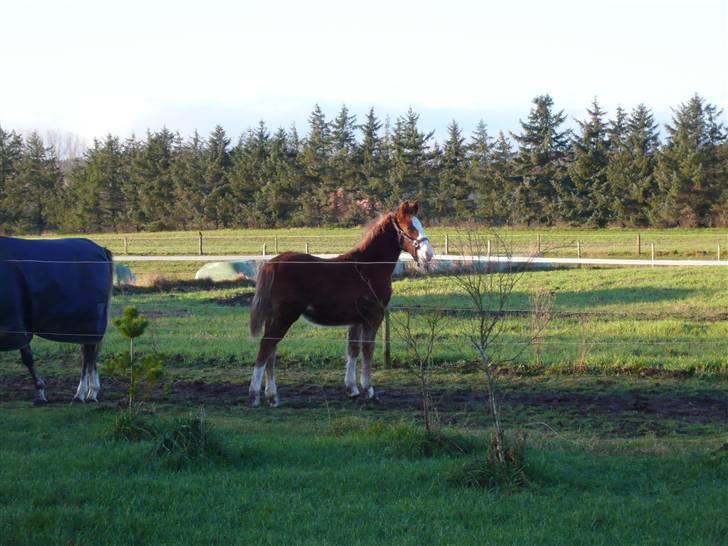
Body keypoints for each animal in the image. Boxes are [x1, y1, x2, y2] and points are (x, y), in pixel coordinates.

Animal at [0, 236, 114, 402]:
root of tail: (100, 250)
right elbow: (28, 358)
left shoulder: (15, 324)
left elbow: (28, 358)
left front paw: (40, 394)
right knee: (90, 354)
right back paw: (91, 392)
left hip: (89, 323)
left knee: (87, 356)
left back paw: (81, 394)